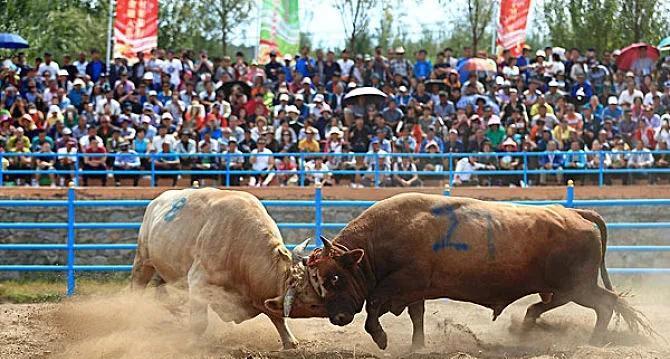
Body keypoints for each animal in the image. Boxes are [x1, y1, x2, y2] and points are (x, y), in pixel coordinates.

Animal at [131, 190, 326, 350]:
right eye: (312, 304)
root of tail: (157, 201)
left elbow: (276, 316)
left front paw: (290, 342)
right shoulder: (198, 282)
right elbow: (199, 323)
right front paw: (192, 343)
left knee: (160, 287)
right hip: (143, 260)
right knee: (138, 286)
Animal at [310, 194, 656, 352]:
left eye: (336, 277)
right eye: (318, 278)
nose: (337, 317)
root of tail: (574, 213)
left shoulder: (402, 283)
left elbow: (373, 307)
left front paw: (381, 338)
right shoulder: (414, 291)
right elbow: (416, 315)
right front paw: (417, 346)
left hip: (579, 286)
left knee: (606, 303)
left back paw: (593, 342)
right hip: (563, 288)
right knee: (543, 306)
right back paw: (525, 330)